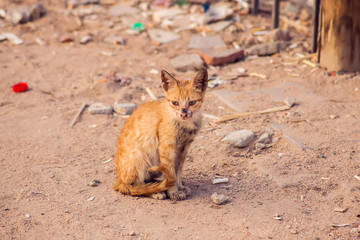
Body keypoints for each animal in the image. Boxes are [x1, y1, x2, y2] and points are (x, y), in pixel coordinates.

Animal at [112, 68, 208, 200]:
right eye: (175, 103)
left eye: (192, 102)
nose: (183, 114)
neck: (184, 125)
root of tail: (118, 178)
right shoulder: (166, 147)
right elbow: (171, 174)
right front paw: (173, 192)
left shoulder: (183, 148)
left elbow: (178, 171)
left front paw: (180, 187)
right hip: (139, 157)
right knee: (130, 187)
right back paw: (155, 191)